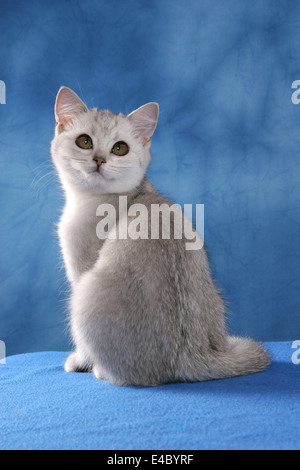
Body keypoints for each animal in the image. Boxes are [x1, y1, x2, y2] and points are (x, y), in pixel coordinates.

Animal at [51, 85, 270, 386]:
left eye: (119, 148)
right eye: (84, 141)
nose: (99, 159)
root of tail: (190, 356)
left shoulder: (80, 271)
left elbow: (83, 346)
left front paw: (79, 361)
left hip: (84, 295)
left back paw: (102, 370)